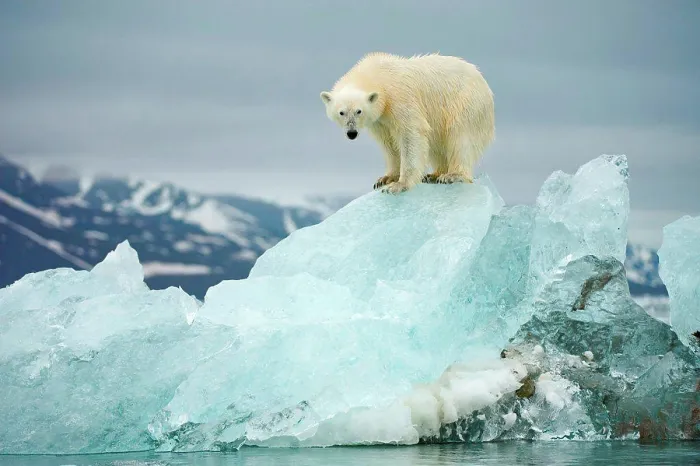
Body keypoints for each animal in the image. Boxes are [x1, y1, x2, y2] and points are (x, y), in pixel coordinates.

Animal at [320, 52, 495, 194]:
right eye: (341, 112)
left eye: (359, 111)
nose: (352, 133)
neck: (377, 75)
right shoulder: (380, 120)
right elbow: (389, 144)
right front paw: (385, 179)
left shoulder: (399, 98)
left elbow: (411, 134)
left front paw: (399, 185)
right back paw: (434, 174)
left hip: (467, 104)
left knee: (461, 137)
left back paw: (452, 175)